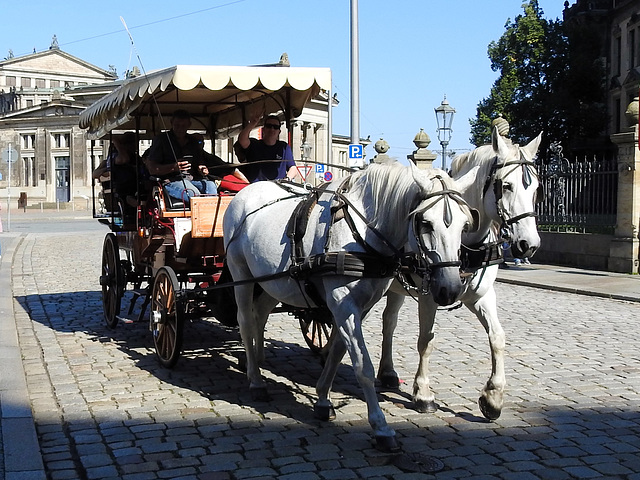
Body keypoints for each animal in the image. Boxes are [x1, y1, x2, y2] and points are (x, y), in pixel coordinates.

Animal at [225, 163, 480, 452]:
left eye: (465, 224)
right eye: (425, 223)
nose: (450, 289)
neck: (361, 231)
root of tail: (245, 191)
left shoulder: (360, 306)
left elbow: (337, 352)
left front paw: (323, 399)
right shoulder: (343, 302)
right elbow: (362, 364)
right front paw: (381, 427)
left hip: (275, 282)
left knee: (260, 314)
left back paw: (256, 360)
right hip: (241, 275)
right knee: (245, 321)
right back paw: (256, 380)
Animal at [378, 127, 544, 420]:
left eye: (536, 188)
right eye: (506, 186)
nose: (529, 244)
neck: (465, 247)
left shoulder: (482, 295)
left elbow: (498, 337)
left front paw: (493, 396)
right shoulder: (429, 296)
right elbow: (426, 340)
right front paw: (423, 393)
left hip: (396, 287)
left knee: (389, 321)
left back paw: (387, 372)